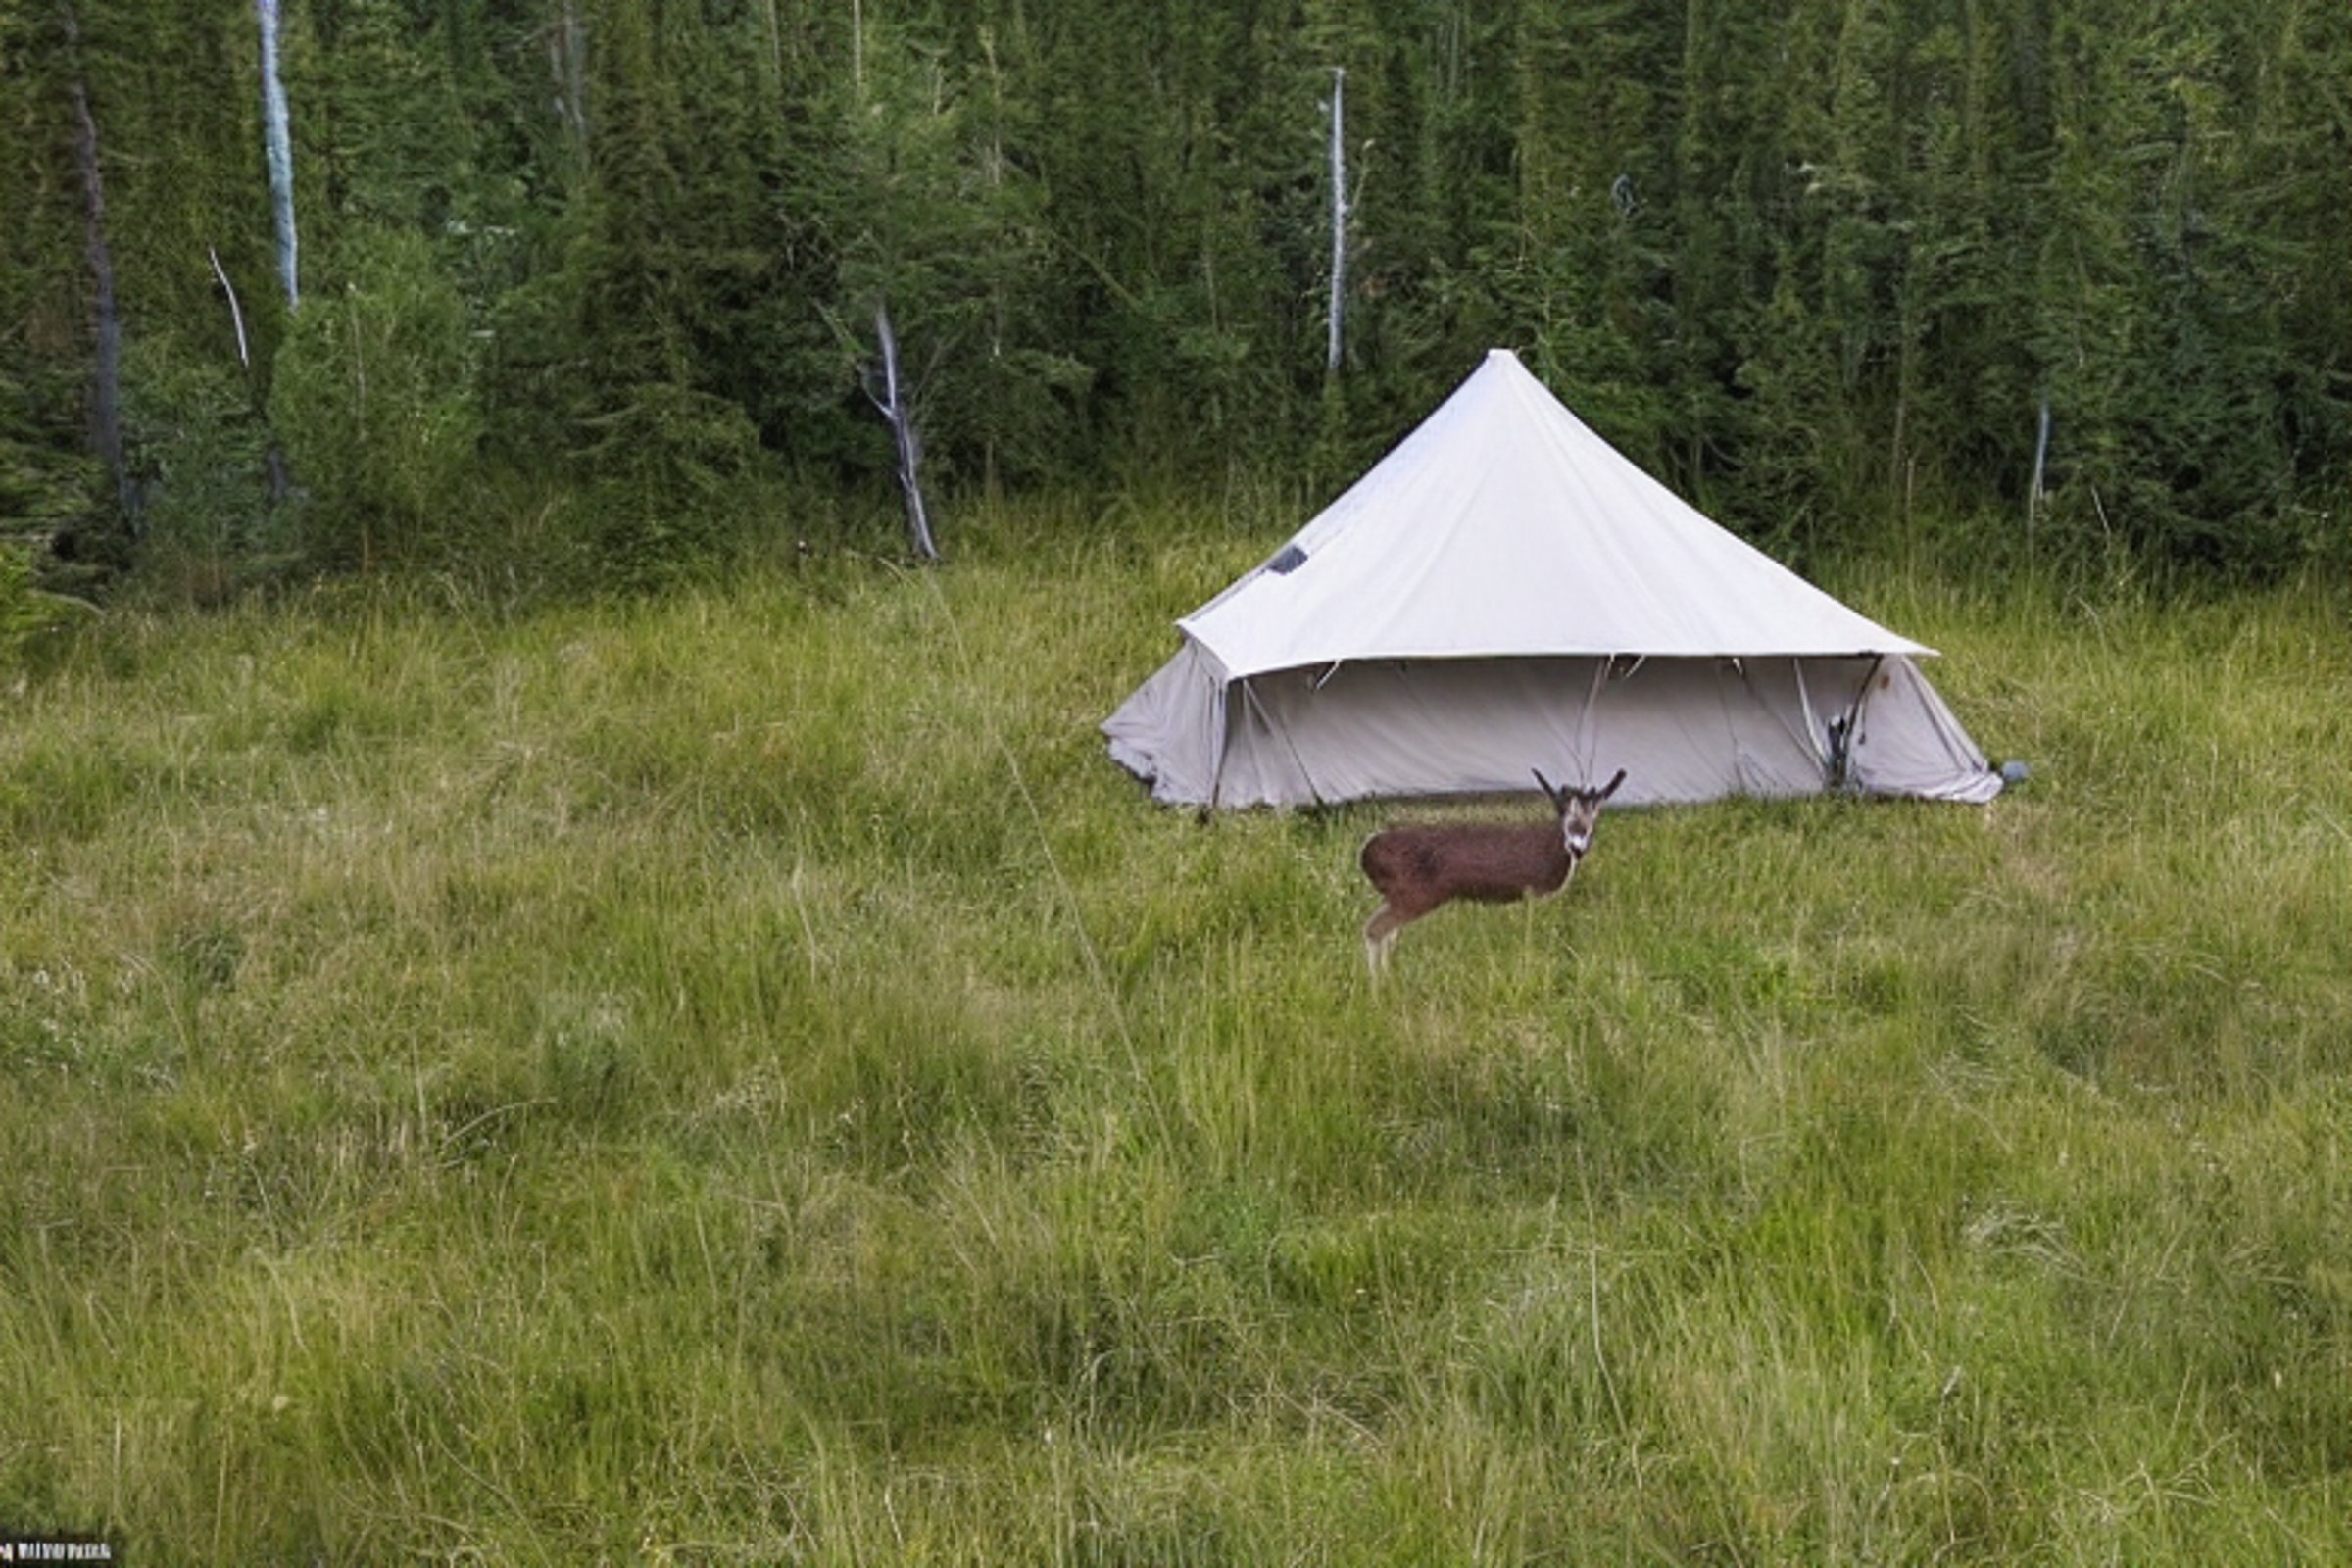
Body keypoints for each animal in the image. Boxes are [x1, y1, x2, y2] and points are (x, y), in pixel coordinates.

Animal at [1359, 768, 1627, 976]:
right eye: (1566, 819)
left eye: (1593, 824)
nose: (1578, 846)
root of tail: (1366, 853)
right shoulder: (1534, 892)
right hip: (1416, 893)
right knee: (1374, 928)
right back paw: (1378, 989)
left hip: (1399, 895)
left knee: (1387, 932)